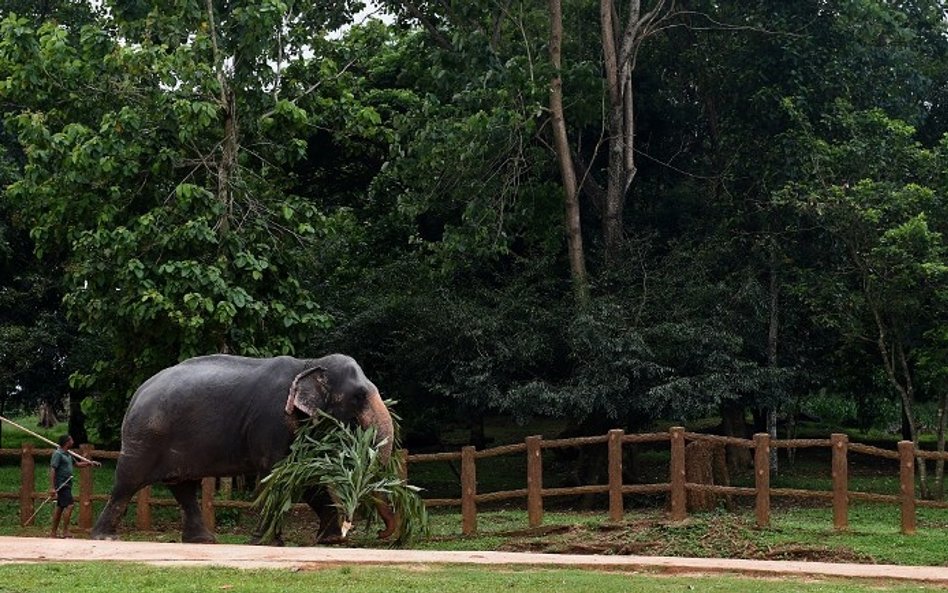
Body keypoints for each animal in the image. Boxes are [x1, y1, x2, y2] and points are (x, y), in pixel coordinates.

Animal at [90, 354, 394, 544]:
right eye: (359, 396)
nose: (380, 534)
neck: (310, 363)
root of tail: (137, 394)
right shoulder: (272, 420)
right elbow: (276, 475)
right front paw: (265, 542)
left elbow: (305, 479)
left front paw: (329, 539)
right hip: (145, 437)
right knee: (127, 482)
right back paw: (105, 537)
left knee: (183, 486)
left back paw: (203, 541)